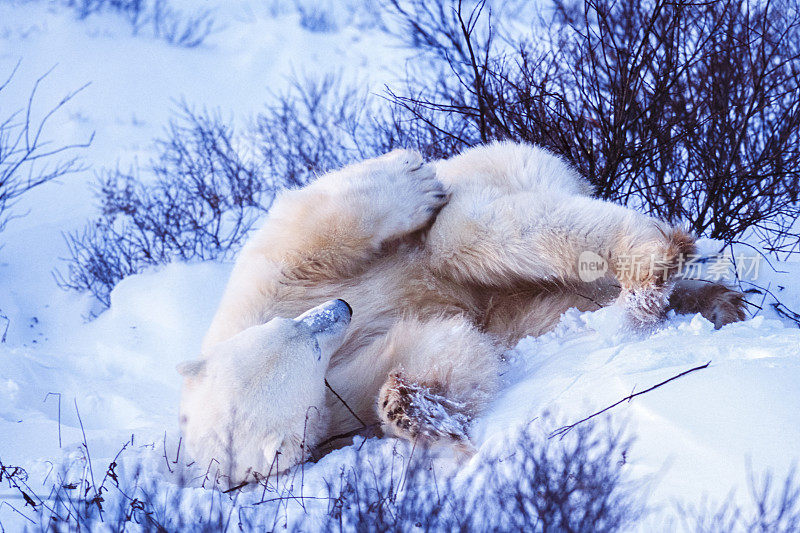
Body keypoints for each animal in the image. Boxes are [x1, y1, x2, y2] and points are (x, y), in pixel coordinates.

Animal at [178, 141, 748, 482]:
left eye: (293, 332)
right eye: (311, 354)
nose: (341, 308)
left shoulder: (261, 294)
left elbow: (312, 230)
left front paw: (413, 178)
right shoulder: (335, 407)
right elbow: (442, 347)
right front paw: (409, 410)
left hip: (492, 177)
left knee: (476, 234)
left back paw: (654, 265)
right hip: (527, 300)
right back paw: (692, 299)